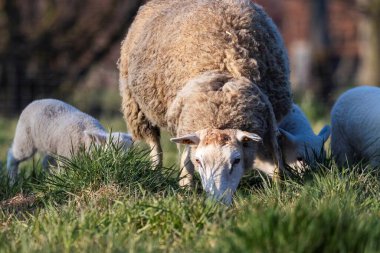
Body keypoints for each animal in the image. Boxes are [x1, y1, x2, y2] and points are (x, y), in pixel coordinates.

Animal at [5, 98, 134, 184]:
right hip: (25, 138)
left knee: (46, 161)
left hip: (51, 145)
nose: (126, 163)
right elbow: (65, 172)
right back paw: (12, 180)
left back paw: (49, 177)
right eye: (113, 152)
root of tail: (36, 101)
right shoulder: (67, 157)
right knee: (14, 155)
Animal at [119, 0, 290, 204]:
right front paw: (186, 188)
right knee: (155, 145)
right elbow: (186, 163)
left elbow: (275, 161)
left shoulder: (268, 120)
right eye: (199, 161)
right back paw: (156, 173)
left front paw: (279, 189)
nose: (217, 203)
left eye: (236, 160)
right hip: (136, 106)